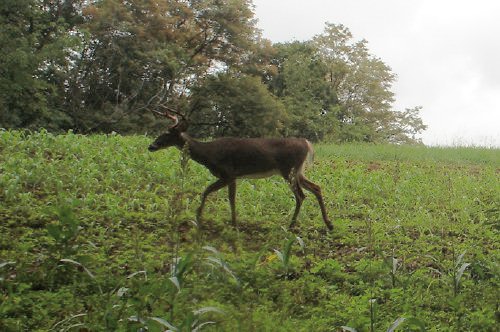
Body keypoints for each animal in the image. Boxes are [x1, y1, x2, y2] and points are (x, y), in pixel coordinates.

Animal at [149, 109, 336, 231]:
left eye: (167, 133)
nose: (151, 146)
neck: (208, 153)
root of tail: (306, 143)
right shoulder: (232, 176)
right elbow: (223, 195)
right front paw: (226, 221)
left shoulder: (229, 173)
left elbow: (217, 194)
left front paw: (204, 218)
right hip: (297, 171)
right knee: (316, 187)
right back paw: (328, 223)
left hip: (288, 169)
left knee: (301, 195)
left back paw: (290, 225)